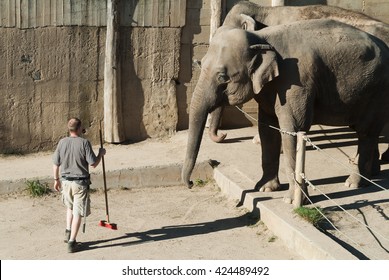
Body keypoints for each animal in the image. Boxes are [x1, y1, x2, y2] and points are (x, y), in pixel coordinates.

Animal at [182, 19, 388, 203]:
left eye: (223, 77)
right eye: (200, 64)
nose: (191, 184)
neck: (261, 37)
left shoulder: (296, 81)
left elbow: (293, 129)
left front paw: (292, 200)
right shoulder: (270, 88)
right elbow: (267, 130)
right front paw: (265, 188)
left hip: (376, 92)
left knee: (366, 132)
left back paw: (354, 183)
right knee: (369, 132)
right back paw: (372, 174)